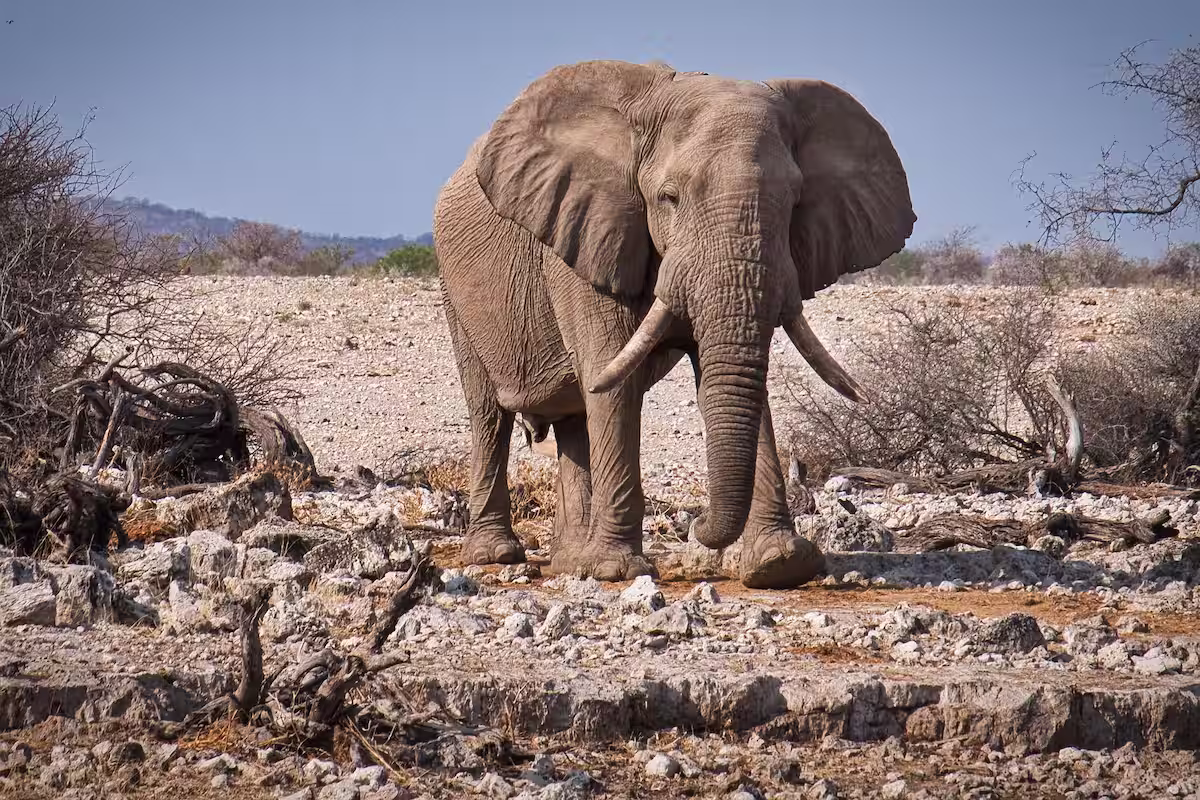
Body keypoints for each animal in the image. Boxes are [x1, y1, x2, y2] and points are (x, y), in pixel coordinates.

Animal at [432, 60, 915, 589]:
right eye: (669, 198)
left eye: (793, 204)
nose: (699, 525)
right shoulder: (586, 234)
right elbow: (612, 377)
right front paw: (616, 570)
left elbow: (730, 379)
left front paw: (780, 564)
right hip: (454, 290)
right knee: (489, 415)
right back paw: (497, 555)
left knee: (575, 420)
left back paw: (568, 561)